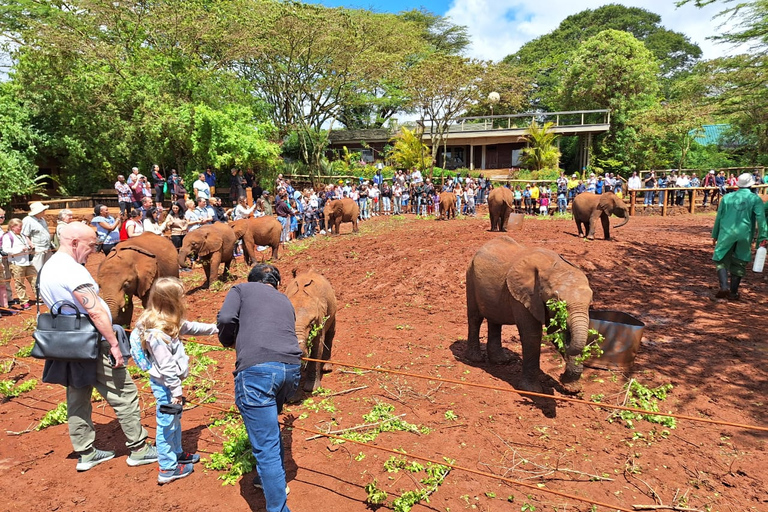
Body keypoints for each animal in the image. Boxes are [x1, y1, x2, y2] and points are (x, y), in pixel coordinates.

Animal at [462, 236, 592, 392]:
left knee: (495, 320)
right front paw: (532, 390)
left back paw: (501, 361)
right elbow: (532, 335)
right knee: (475, 318)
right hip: (470, 276)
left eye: (590, 302)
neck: (553, 266)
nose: (561, 376)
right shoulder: (523, 295)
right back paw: (475, 359)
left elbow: (555, 331)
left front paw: (572, 389)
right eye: (556, 301)